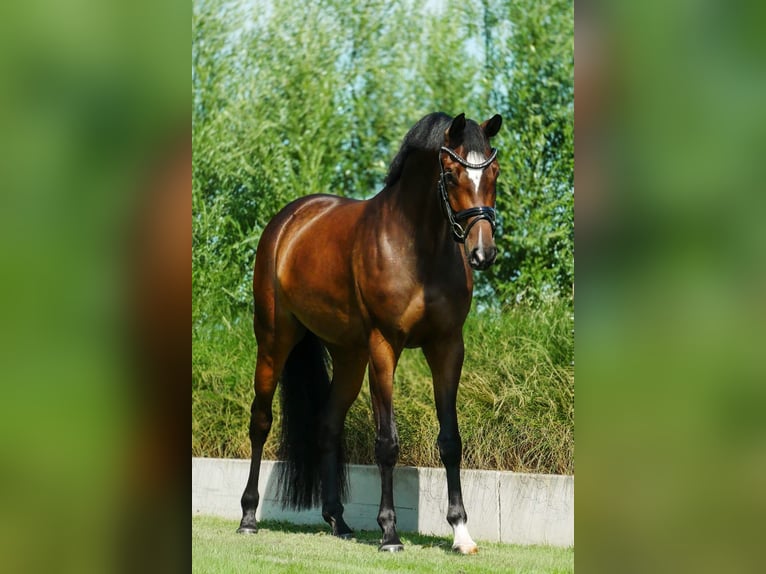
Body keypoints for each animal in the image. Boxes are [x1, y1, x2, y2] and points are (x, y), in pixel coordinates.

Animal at [236, 112, 502, 554]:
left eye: (494, 173)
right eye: (450, 176)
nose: (483, 253)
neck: (416, 249)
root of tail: (287, 222)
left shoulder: (447, 347)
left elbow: (450, 440)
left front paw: (461, 532)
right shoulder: (384, 346)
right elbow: (387, 443)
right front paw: (390, 533)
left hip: (348, 357)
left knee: (327, 425)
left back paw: (338, 521)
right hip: (275, 340)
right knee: (261, 421)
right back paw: (248, 517)